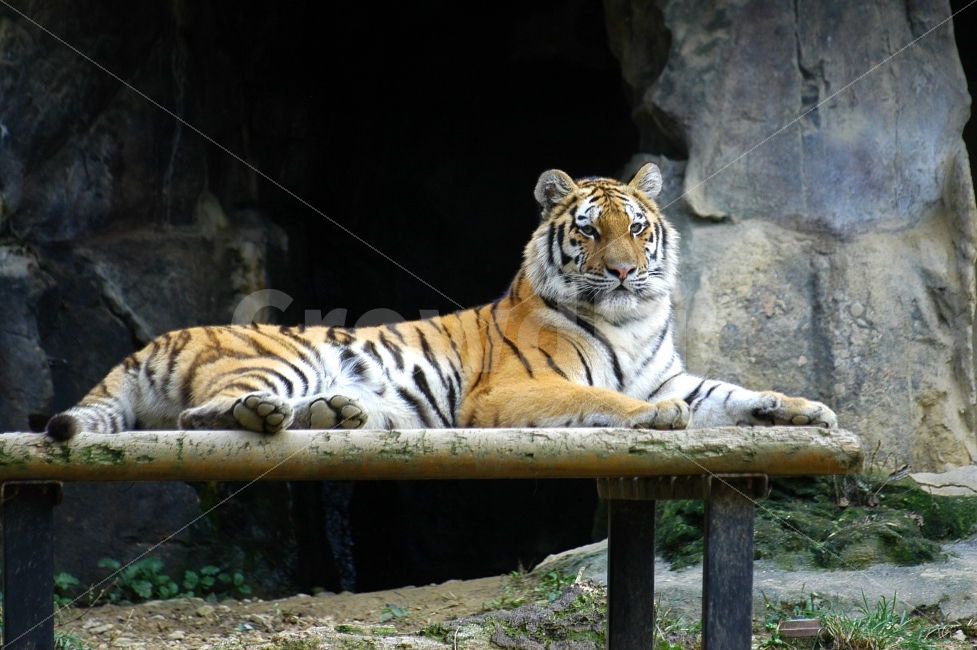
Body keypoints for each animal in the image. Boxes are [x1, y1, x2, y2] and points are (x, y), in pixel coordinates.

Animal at [45, 163, 836, 441]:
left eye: (637, 228)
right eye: (589, 230)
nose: (621, 271)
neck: (632, 322)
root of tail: (151, 342)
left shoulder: (673, 374)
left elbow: (735, 391)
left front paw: (805, 408)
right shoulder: (510, 391)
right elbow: (604, 398)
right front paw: (654, 417)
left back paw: (336, 414)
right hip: (277, 361)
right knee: (203, 414)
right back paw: (276, 416)